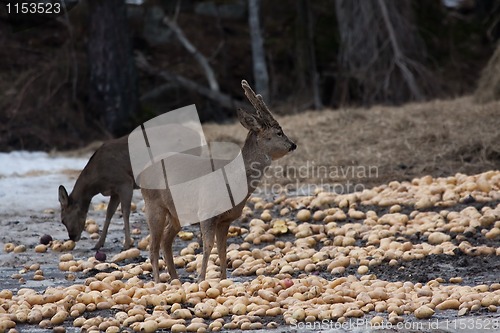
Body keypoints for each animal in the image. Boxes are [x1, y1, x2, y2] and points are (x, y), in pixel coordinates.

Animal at [142, 80, 296, 280]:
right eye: (278, 132)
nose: (293, 145)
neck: (233, 179)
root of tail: (141, 172)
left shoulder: (226, 219)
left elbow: (223, 249)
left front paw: (223, 278)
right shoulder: (206, 211)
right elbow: (208, 246)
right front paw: (200, 278)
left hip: (176, 211)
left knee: (166, 241)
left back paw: (175, 279)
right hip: (153, 204)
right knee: (153, 246)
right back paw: (158, 281)